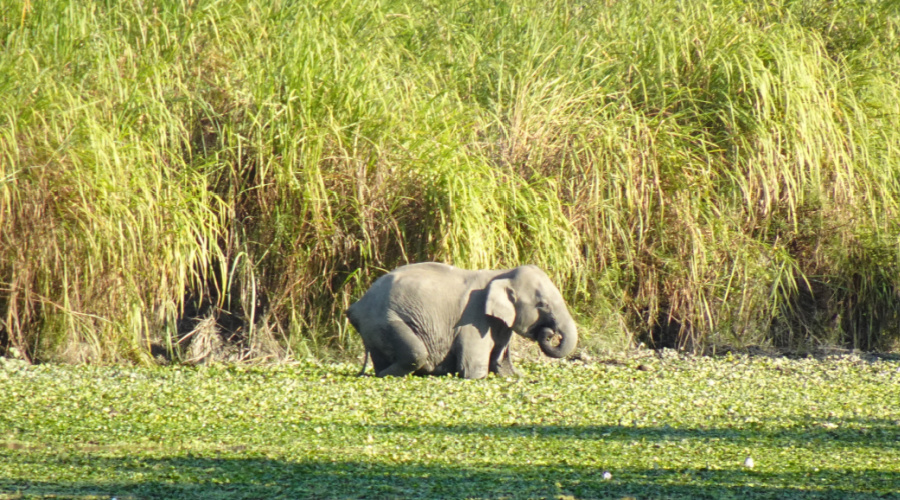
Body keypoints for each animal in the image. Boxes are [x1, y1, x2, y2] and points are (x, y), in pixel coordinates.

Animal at [344, 264, 576, 376]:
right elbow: (473, 370)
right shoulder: (473, 318)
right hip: (384, 320)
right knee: (415, 353)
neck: (502, 272)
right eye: (543, 304)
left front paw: (517, 376)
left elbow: (502, 361)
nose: (550, 332)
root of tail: (356, 306)